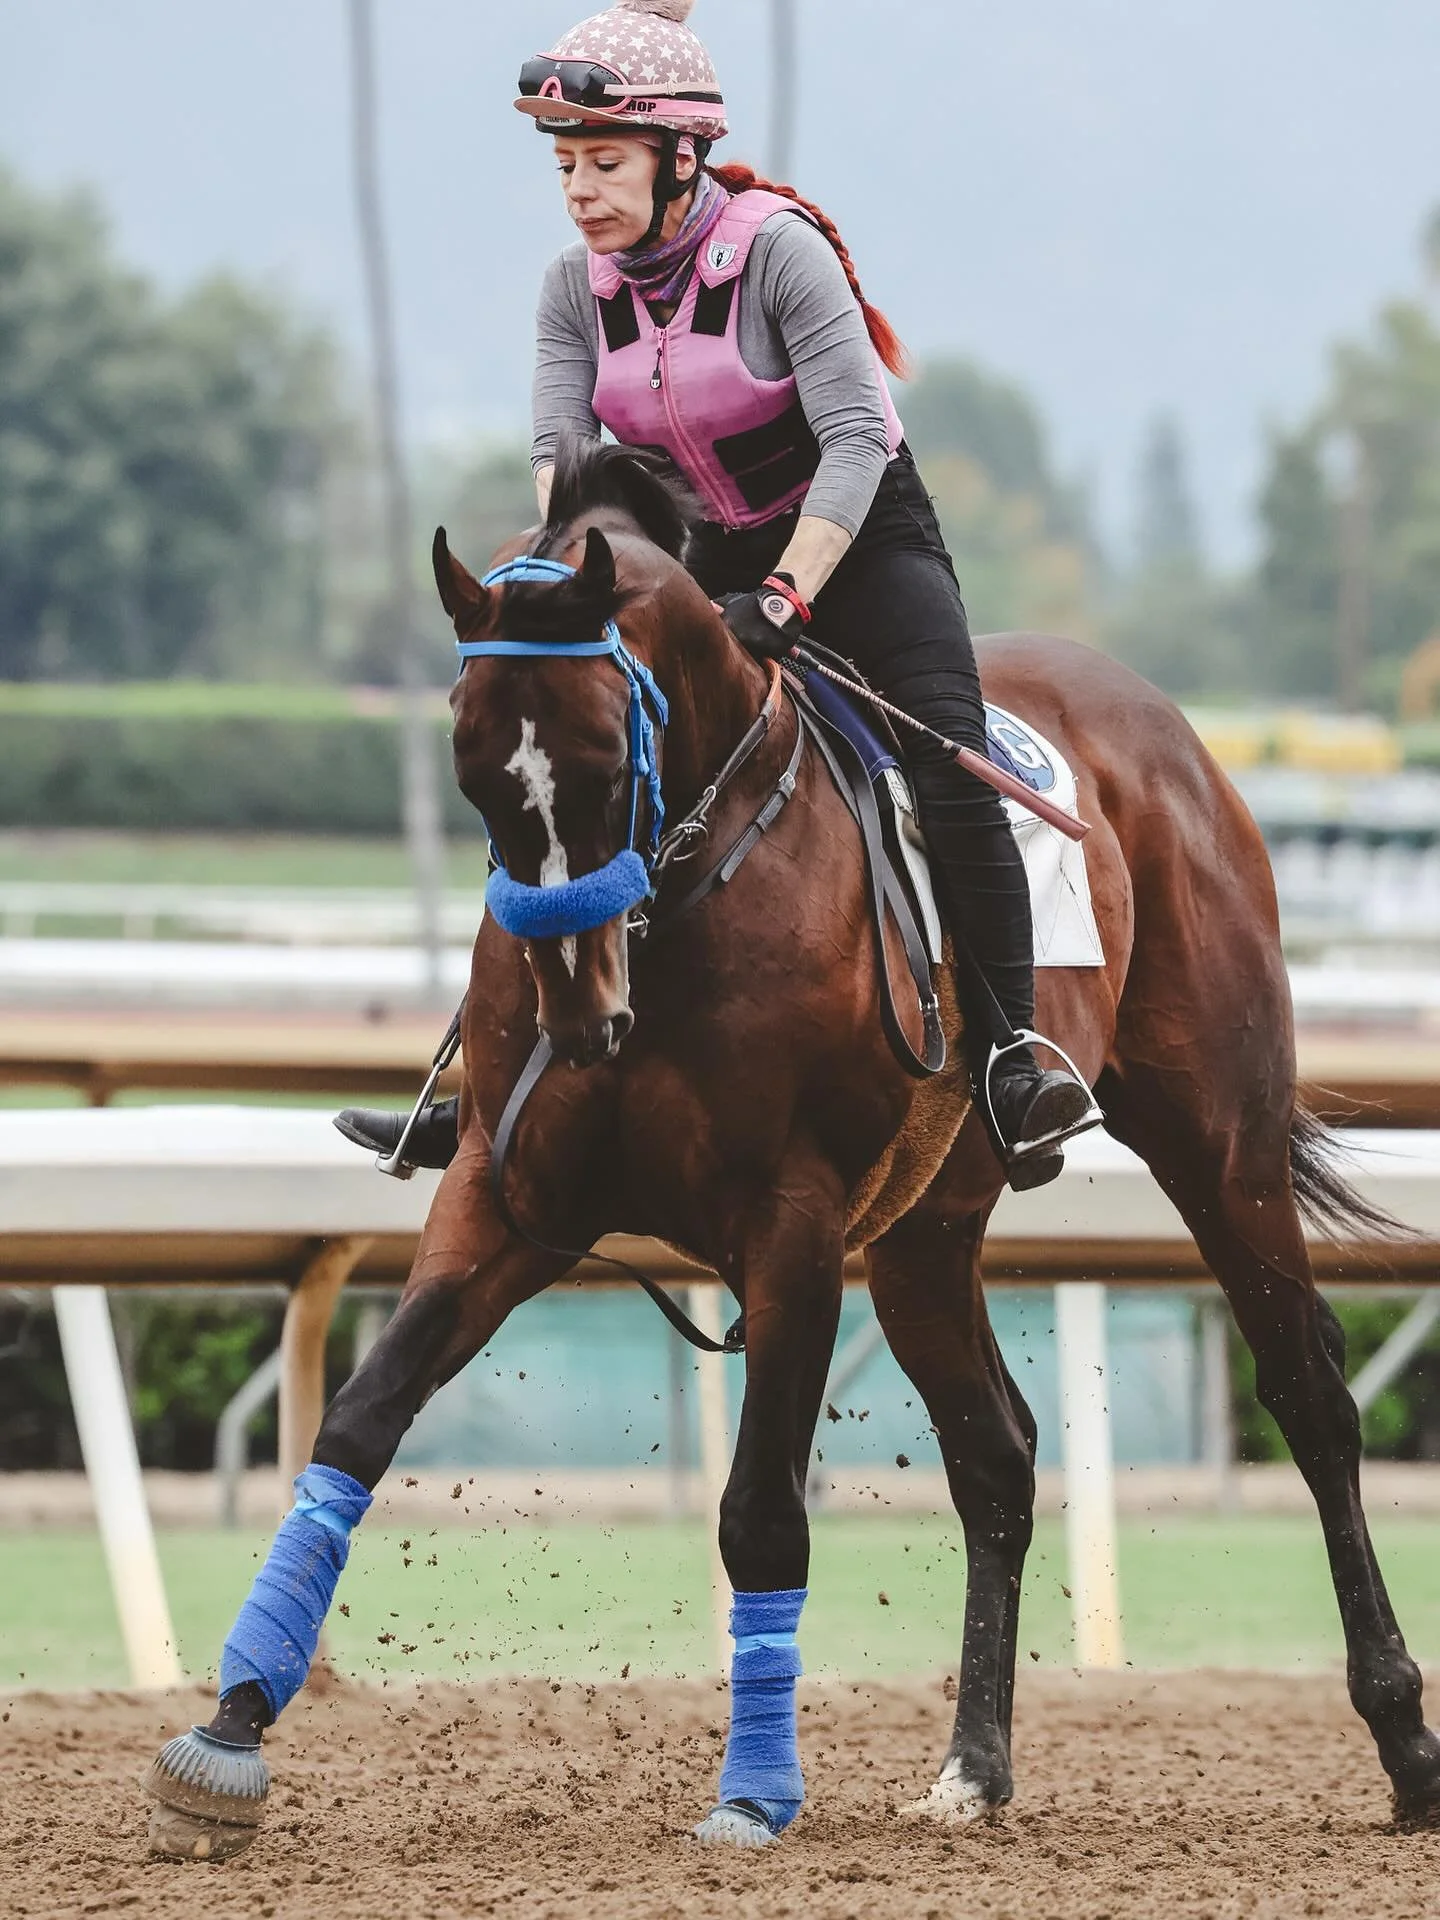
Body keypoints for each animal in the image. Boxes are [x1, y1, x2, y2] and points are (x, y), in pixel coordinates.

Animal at [143, 438, 1440, 1859]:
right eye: (476, 773)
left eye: (605, 764)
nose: (580, 1015)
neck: (679, 909)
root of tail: (1169, 730)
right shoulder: (505, 1194)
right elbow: (358, 1428)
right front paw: (229, 1727)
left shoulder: (794, 1226)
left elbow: (761, 1512)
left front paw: (756, 1791)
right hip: (926, 1233)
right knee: (997, 1455)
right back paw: (974, 1766)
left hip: (1220, 1141)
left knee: (1309, 1395)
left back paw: (1404, 1739)